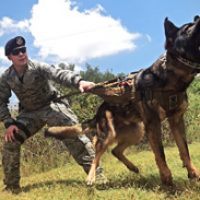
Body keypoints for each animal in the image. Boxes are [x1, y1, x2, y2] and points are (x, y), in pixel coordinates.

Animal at [45, 16, 200, 186]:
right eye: (188, 29)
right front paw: (166, 177)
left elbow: (184, 149)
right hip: (109, 135)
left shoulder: (176, 121)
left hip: (137, 131)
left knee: (115, 150)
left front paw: (193, 172)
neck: (170, 78)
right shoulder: (153, 124)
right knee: (96, 155)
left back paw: (132, 167)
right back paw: (91, 178)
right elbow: (160, 153)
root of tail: (97, 114)